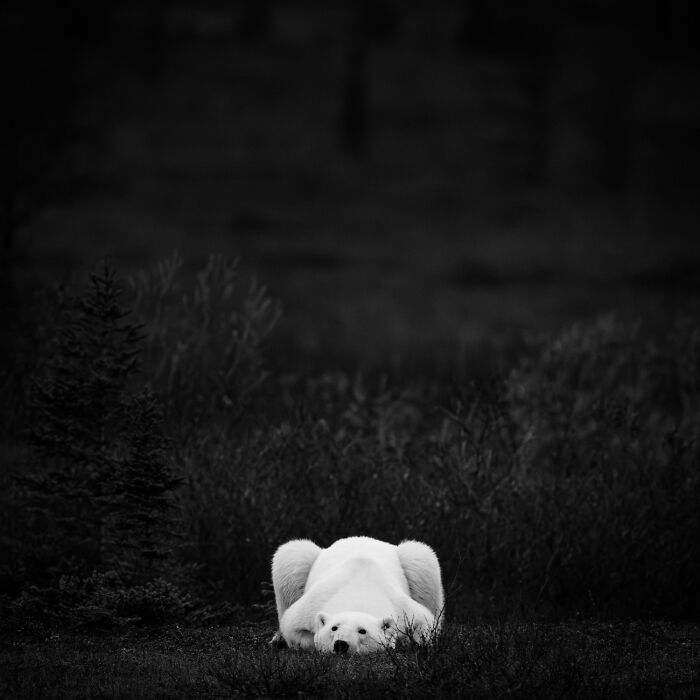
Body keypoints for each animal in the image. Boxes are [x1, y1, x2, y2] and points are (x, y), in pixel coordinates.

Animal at [269, 536, 444, 654]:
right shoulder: (313, 604)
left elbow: (426, 623)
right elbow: (292, 626)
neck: (359, 593)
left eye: (362, 631)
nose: (341, 644)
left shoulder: (402, 608)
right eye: (334, 627)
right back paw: (277, 639)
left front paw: (402, 641)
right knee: (292, 557)